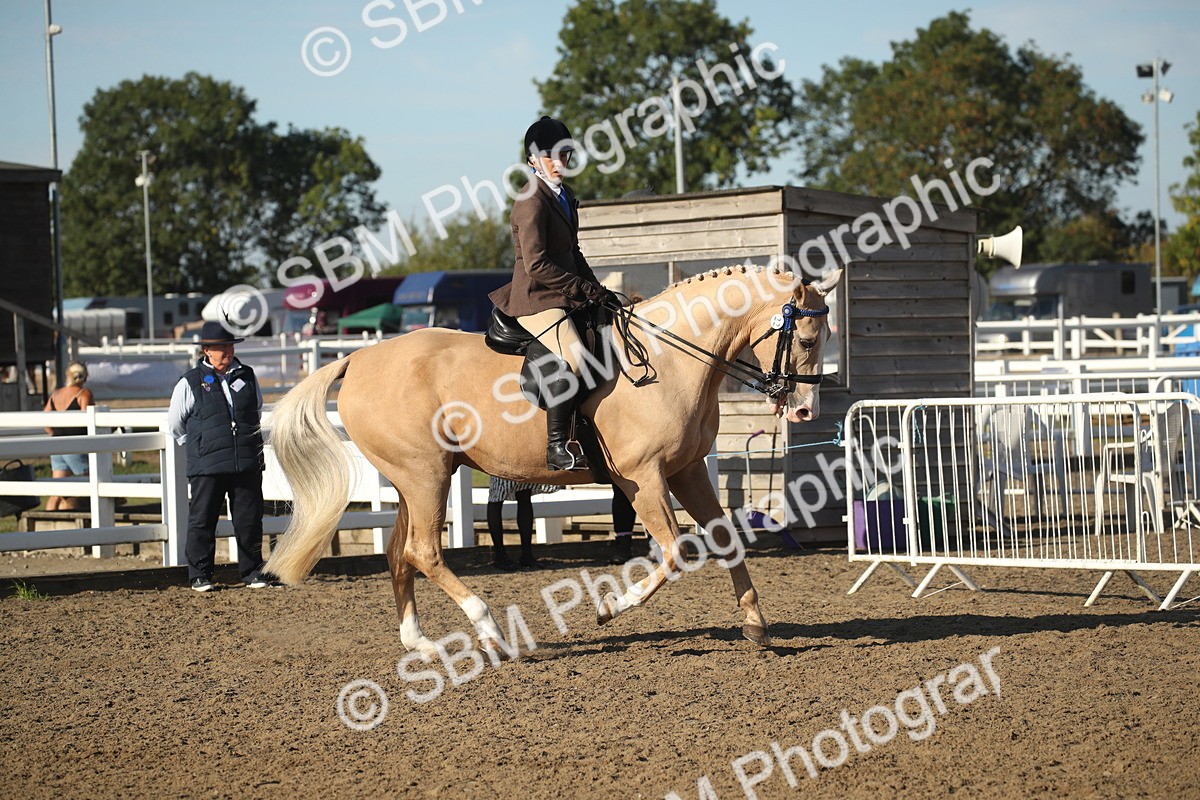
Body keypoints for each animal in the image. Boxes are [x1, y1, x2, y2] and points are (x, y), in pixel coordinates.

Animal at [264, 264, 842, 655]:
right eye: (806, 338)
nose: (806, 410)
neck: (672, 361)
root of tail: (358, 358)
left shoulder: (687, 470)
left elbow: (725, 539)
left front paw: (756, 624)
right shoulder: (642, 478)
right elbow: (676, 553)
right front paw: (610, 608)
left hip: (415, 479)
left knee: (398, 552)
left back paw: (419, 642)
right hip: (425, 475)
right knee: (424, 551)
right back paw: (491, 631)